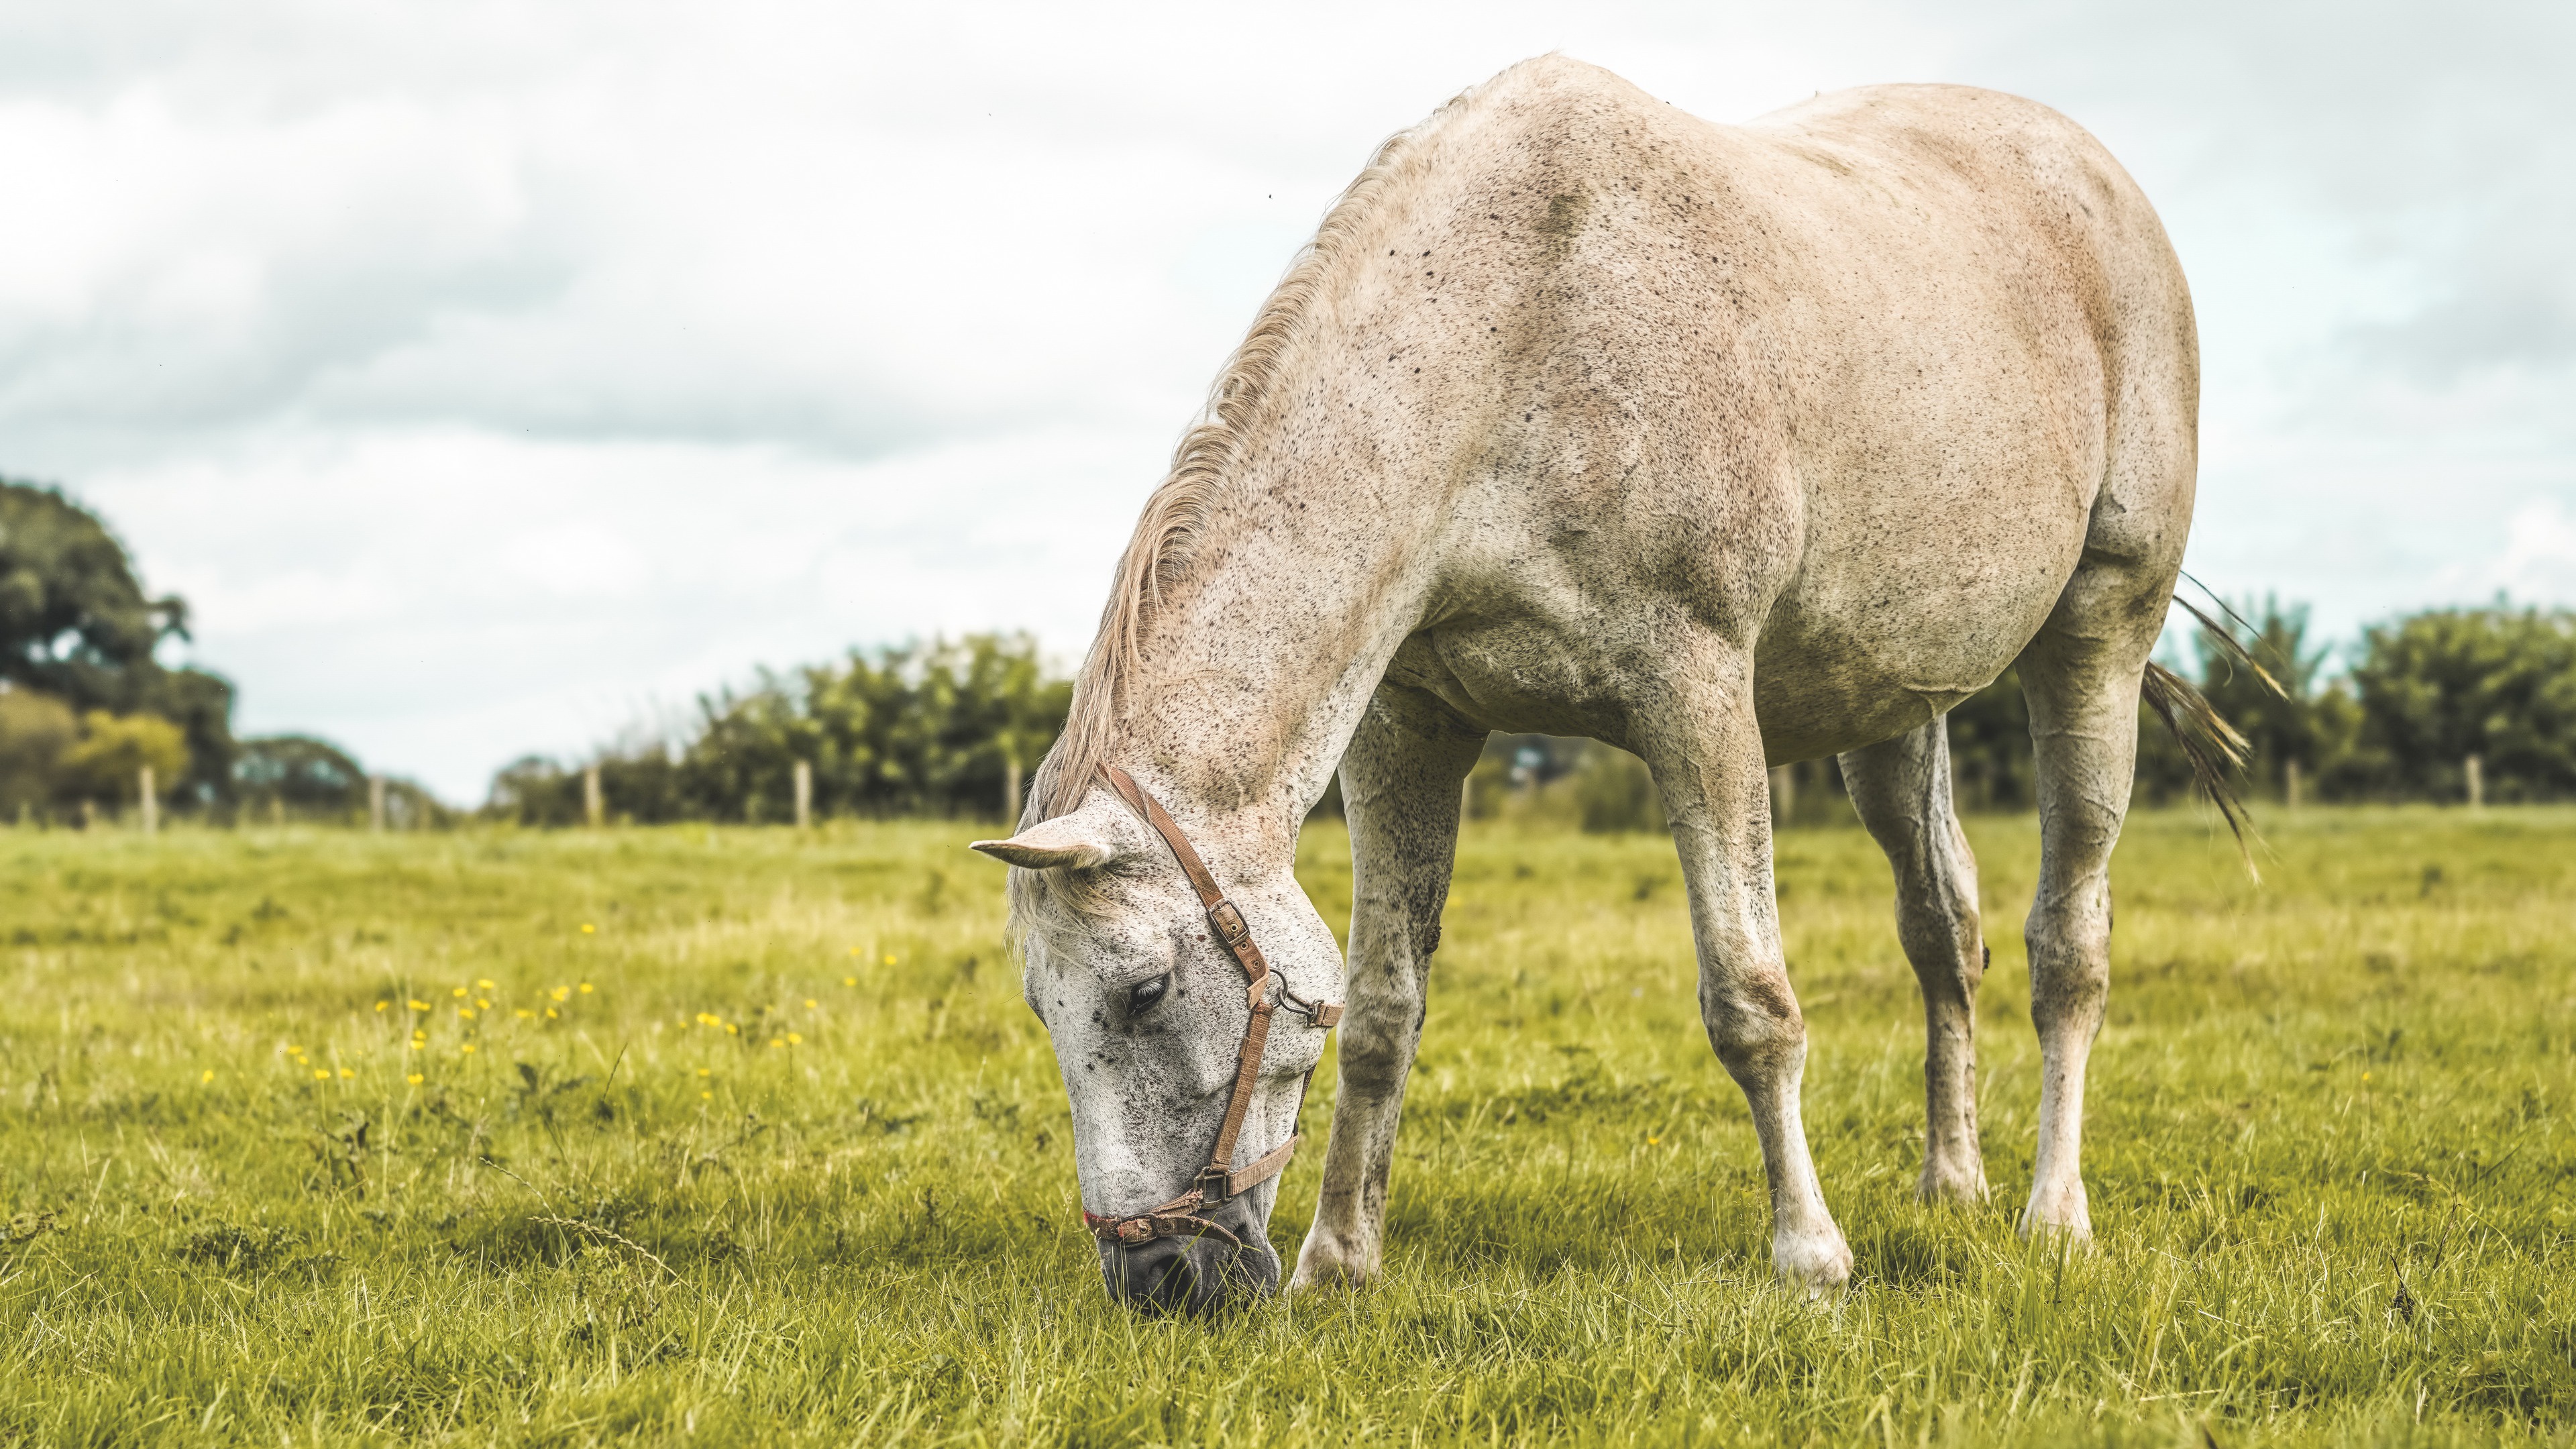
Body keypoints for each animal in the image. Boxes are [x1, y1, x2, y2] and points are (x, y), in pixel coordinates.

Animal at [968, 53, 2215, 1309]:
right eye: (1040, 1004)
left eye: (1143, 991)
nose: (1159, 1278)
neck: (1520, 331)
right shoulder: (1408, 727)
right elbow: (1381, 1010)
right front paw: (1342, 1258)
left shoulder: (1697, 696)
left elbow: (1752, 1002)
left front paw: (1810, 1256)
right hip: (1893, 712)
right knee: (1942, 928)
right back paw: (1952, 1185)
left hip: (2098, 639)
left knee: (2068, 946)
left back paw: (2054, 1215)